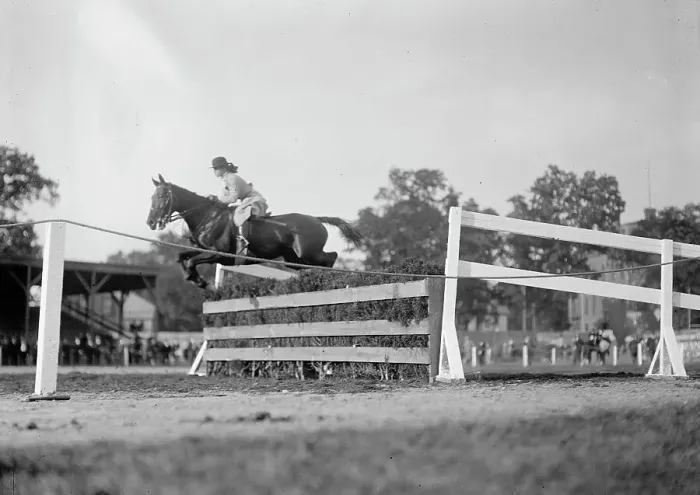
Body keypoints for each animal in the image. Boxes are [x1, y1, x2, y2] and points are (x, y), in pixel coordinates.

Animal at [146, 174, 364, 288]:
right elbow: (182, 256)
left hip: (308, 253)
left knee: (331, 257)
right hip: (293, 259)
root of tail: (316, 219)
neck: (208, 217)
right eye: (152, 197)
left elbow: (191, 261)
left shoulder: (218, 255)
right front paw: (193, 278)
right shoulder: (205, 251)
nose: (150, 222)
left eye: (163, 196)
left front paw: (198, 280)